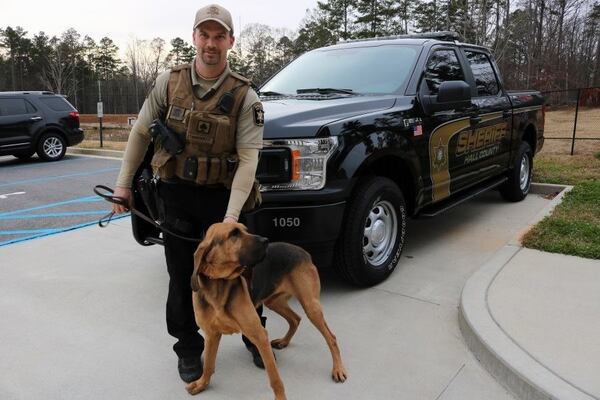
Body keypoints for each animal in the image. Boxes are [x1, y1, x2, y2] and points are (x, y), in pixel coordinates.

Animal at [188, 223, 346, 398]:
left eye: (245, 229)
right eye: (233, 234)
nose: (266, 240)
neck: (219, 284)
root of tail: (303, 252)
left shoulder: (259, 335)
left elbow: (275, 379)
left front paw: (281, 397)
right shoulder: (211, 335)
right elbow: (208, 364)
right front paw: (201, 384)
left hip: (311, 306)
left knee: (331, 337)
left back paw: (338, 369)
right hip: (274, 301)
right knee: (295, 318)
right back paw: (284, 341)